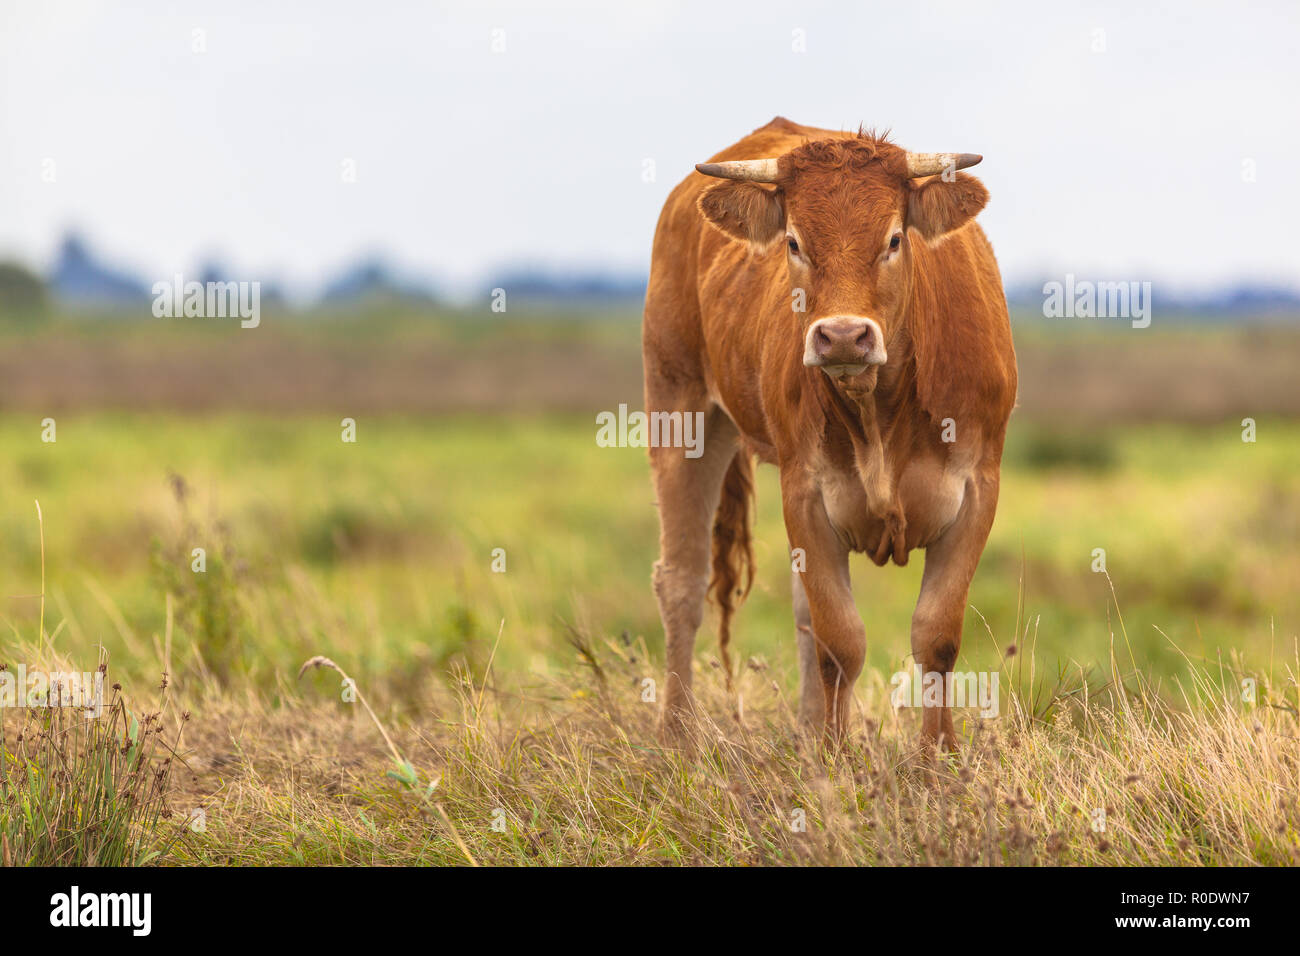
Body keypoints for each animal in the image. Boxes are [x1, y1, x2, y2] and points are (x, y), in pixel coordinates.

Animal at [642, 117, 1017, 749]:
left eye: (894, 239)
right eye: (794, 242)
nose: (843, 336)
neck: (880, 411)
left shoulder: (976, 491)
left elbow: (935, 636)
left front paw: (936, 757)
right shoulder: (806, 494)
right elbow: (840, 641)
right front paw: (837, 759)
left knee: (796, 614)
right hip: (680, 411)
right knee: (682, 583)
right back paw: (677, 736)